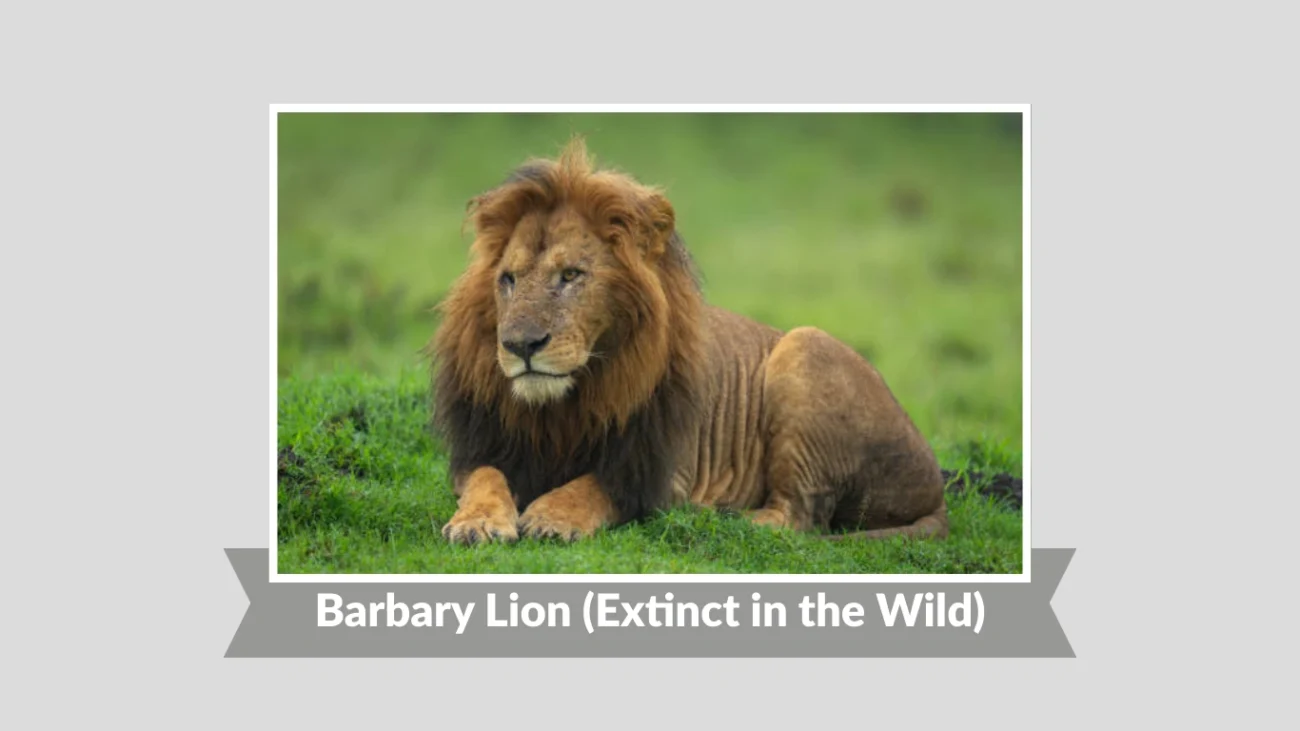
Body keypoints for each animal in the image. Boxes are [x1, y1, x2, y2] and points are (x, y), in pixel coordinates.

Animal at [430, 138, 948, 545]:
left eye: (571, 275)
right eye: (508, 279)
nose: (520, 346)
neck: (563, 408)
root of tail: (936, 486)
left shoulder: (651, 471)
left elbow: (591, 486)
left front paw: (552, 517)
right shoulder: (483, 446)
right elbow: (485, 479)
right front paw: (476, 523)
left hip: (806, 345)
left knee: (802, 516)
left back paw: (719, 515)